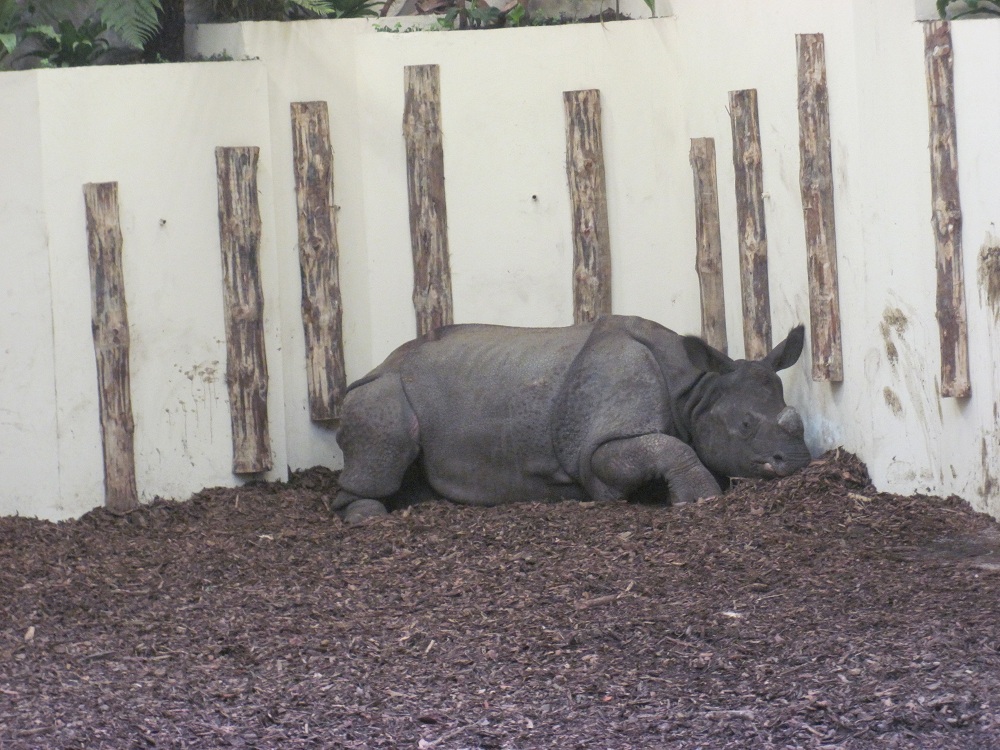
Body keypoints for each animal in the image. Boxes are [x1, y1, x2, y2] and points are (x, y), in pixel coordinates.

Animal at [332, 315, 811, 522]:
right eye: (745, 426)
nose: (797, 463)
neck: (695, 393)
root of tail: (380, 362)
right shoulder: (597, 450)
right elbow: (665, 447)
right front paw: (700, 498)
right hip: (381, 388)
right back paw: (369, 518)